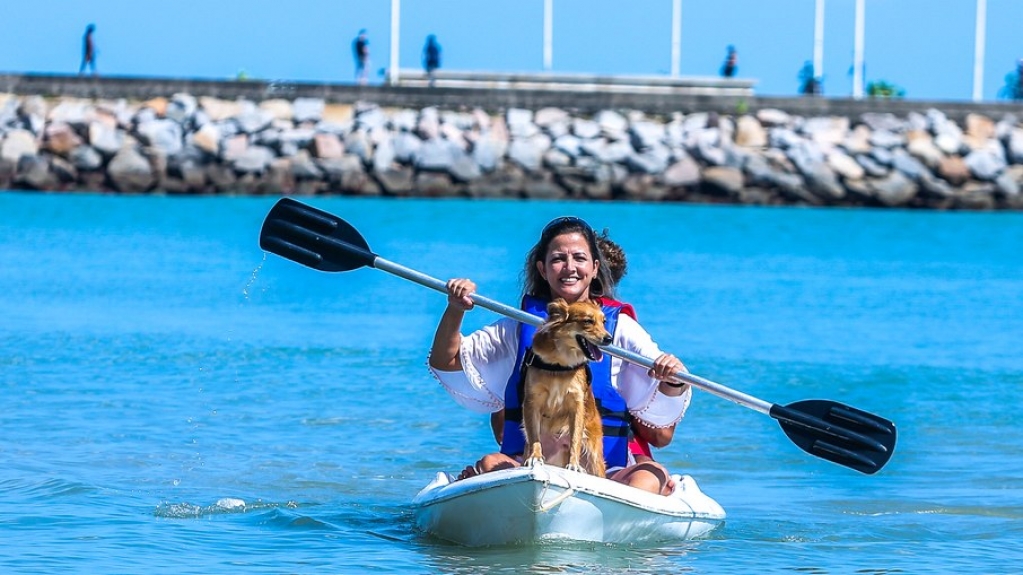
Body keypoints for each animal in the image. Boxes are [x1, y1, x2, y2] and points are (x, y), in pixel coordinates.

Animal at [523, 294, 609, 474]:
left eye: (603, 321)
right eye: (588, 321)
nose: (609, 339)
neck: (559, 362)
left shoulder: (576, 404)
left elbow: (575, 439)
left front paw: (574, 464)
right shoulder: (532, 401)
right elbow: (534, 436)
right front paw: (535, 456)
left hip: (594, 456)